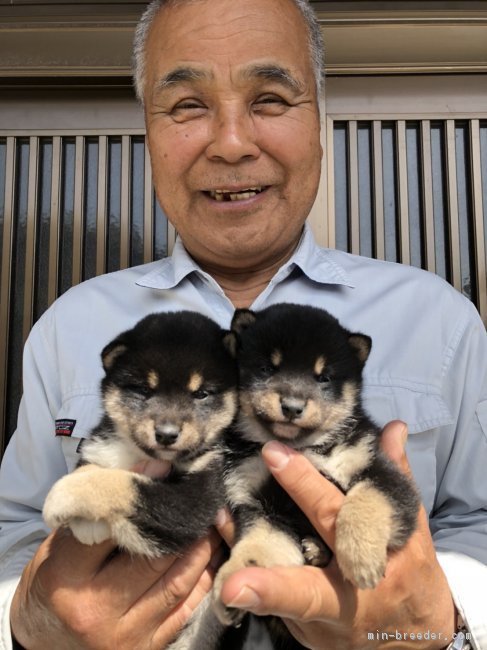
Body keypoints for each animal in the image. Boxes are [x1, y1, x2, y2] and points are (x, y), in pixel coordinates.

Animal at [215, 302, 422, 624]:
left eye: (323, 377)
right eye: (266, 368)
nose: (292, 407)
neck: (304, 447)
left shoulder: (380, 469)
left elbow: (366, 498)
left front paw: (360, 556)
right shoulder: (260, 505)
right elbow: (257, 546)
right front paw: (235, 576)